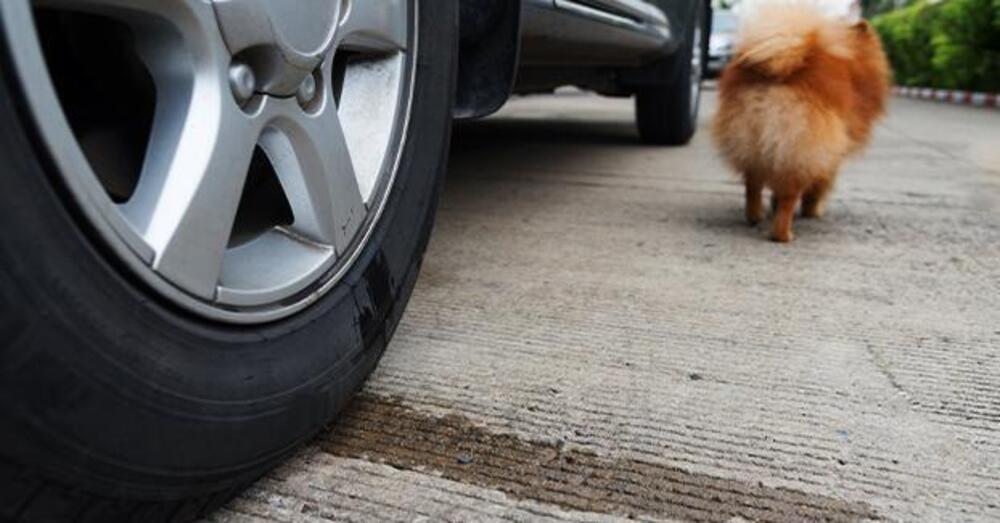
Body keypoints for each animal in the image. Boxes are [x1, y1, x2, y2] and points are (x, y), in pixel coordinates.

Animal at [712, 2, 892, 242]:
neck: (854, 65)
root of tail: (781, 64)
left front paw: (773, 205)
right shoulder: (830, 155)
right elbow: (818, 187)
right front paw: (812, 211)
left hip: (753, 142)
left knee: (752, 184)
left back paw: (755, 216)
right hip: (800, 148)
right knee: (789, 195)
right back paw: (783, 234)